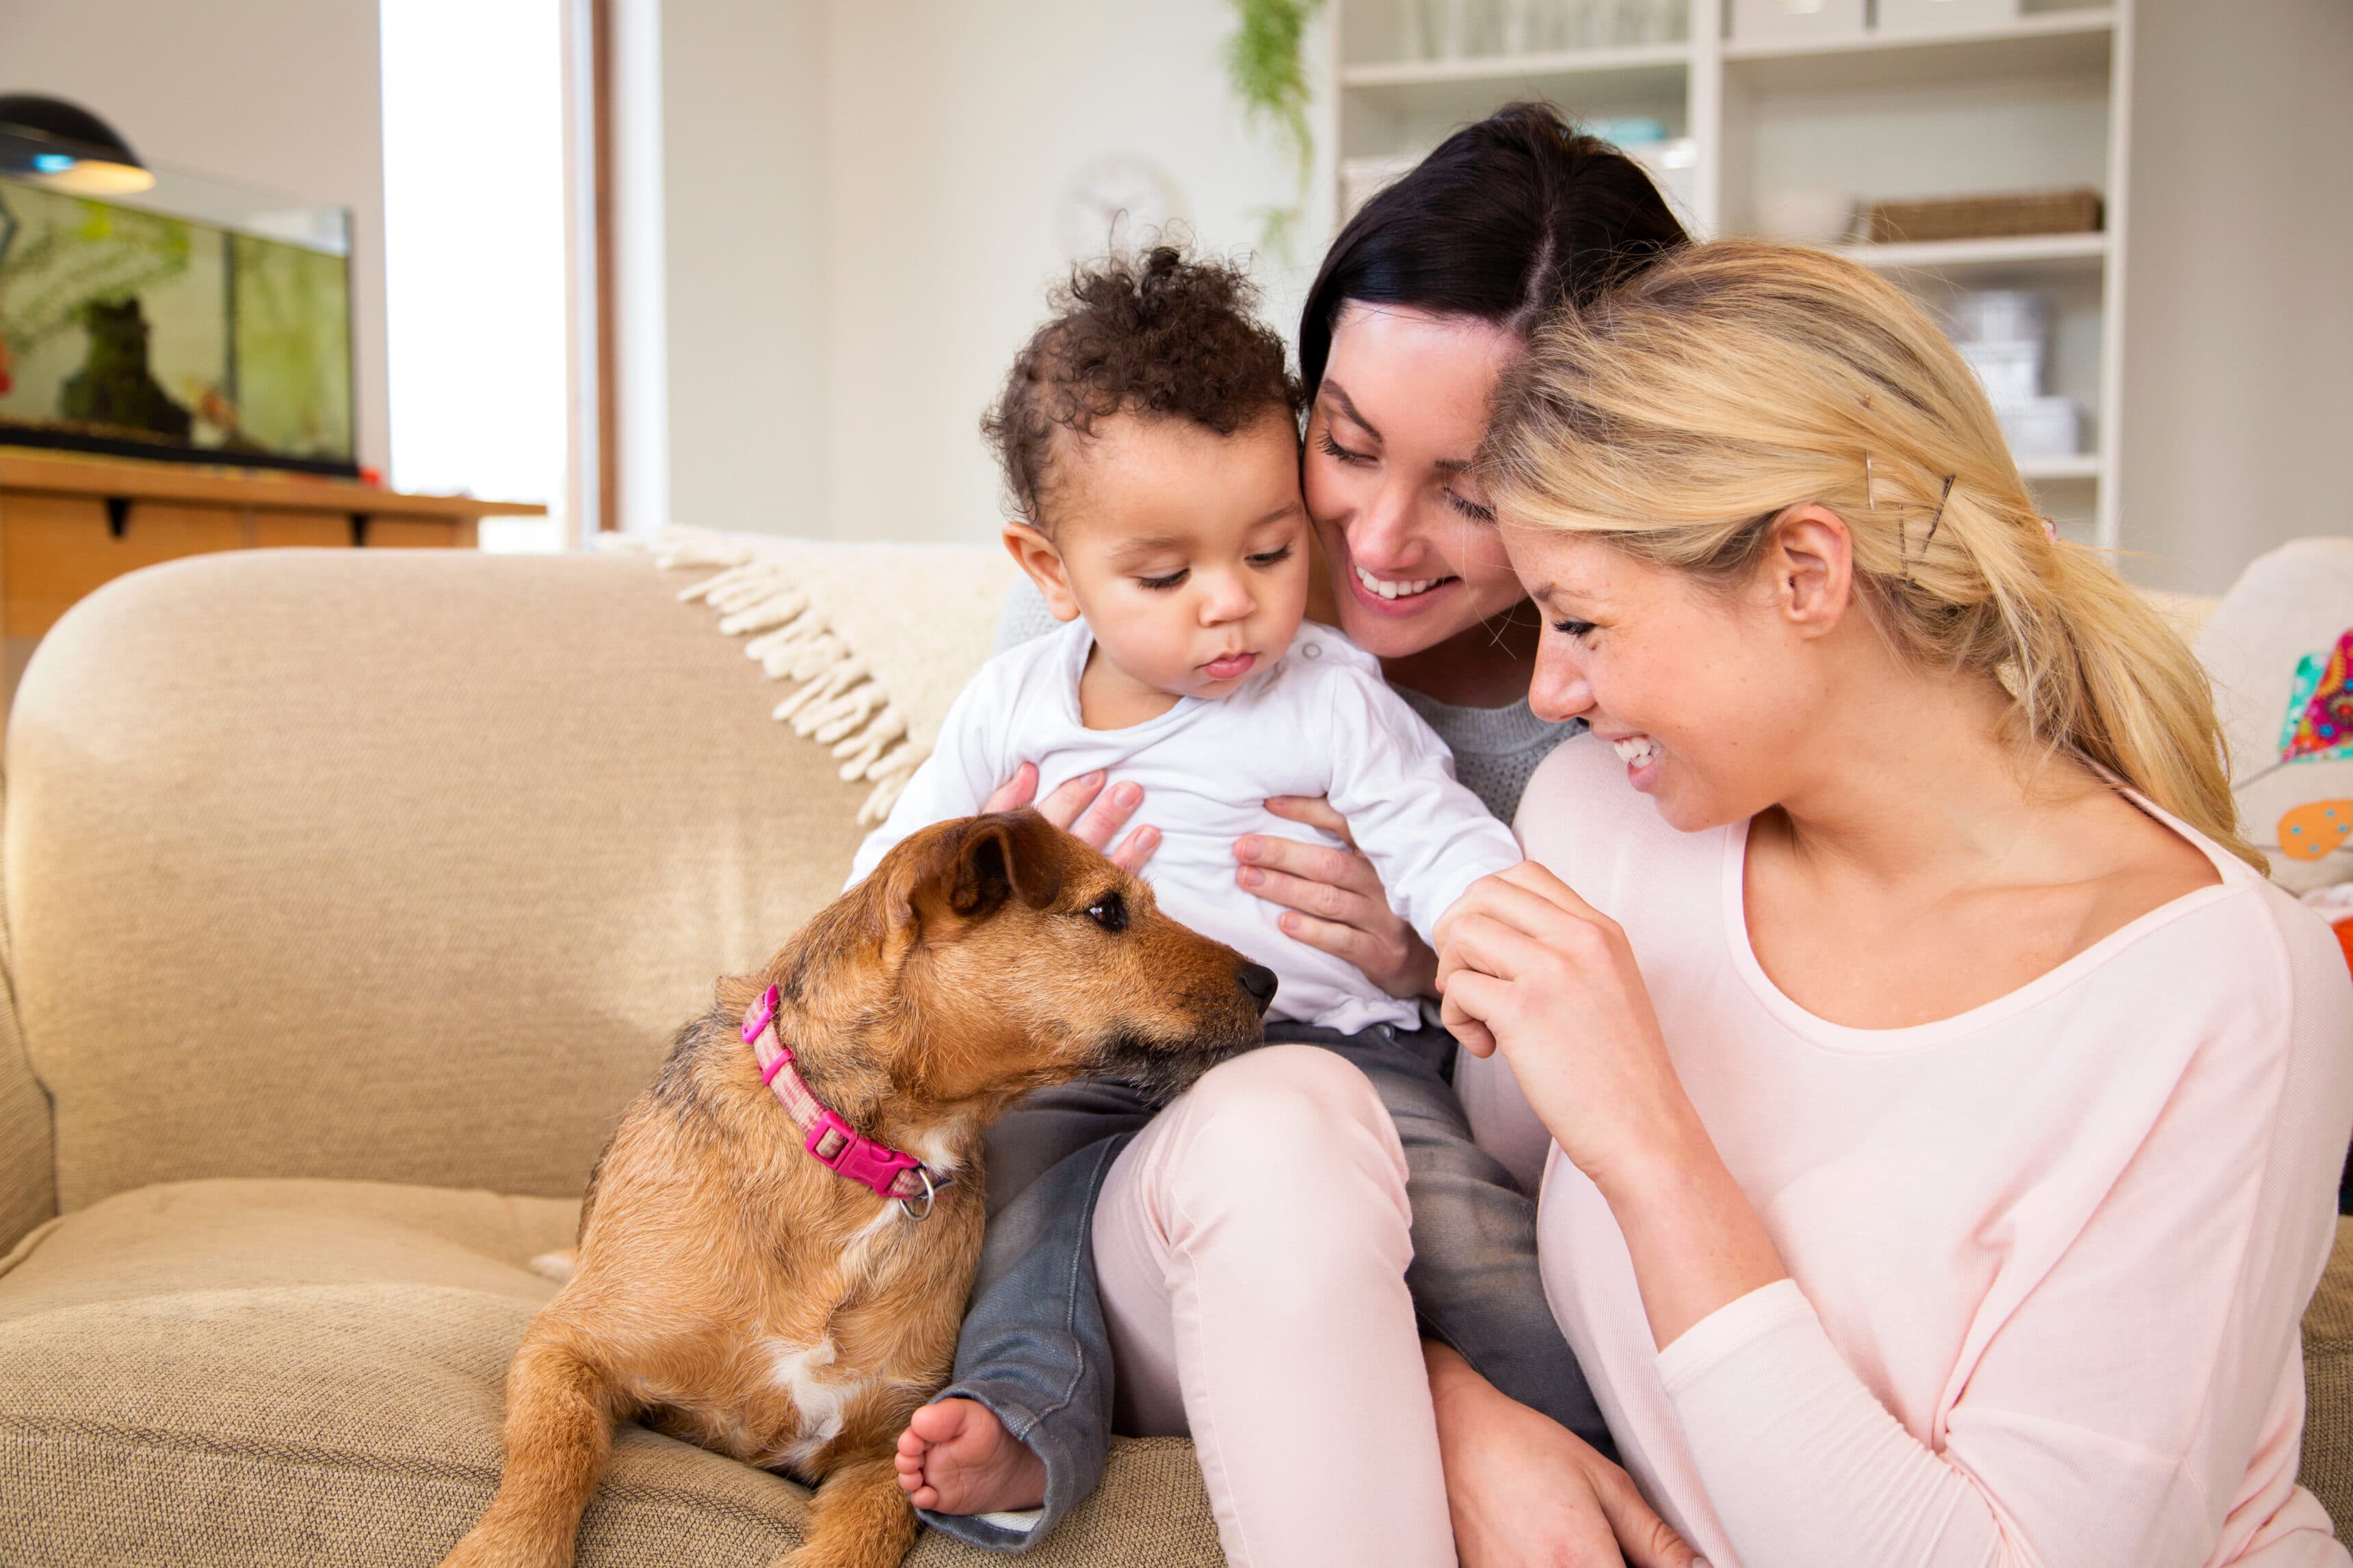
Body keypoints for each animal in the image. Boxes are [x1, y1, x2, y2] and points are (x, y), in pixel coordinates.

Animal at [432, 808, 1280, 1568]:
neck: (864, 1156)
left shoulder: (890, 1450)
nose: (1270, 980)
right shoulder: (566, 1347)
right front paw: (508, 1550)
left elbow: (863, 1536)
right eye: (1106, 910)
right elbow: (559, 1448)